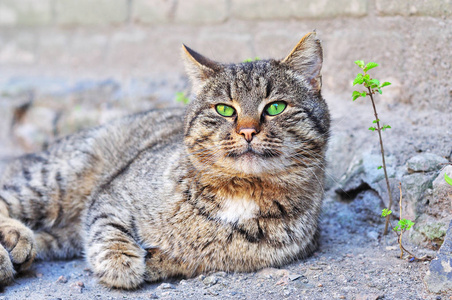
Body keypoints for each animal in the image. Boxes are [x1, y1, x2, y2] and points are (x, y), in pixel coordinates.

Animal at [0, 32, 332, 288]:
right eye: (225, 109)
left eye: (275, 107)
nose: (248, 131)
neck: (241, 192)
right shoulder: (112, 194)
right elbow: (108, 229)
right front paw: (122, 263)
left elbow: (189, 258)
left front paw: (155, 260)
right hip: (57, 182)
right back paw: (14, 240)